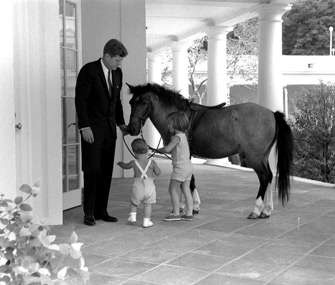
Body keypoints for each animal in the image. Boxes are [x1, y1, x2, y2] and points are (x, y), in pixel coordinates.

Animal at [126, 82, 294, 217]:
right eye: (131, 102)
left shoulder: (182, 154)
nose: (132, 128)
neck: (178, 116)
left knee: (264, 177)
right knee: (270, 176)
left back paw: (256, 210)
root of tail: (272, 114)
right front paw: (186, 205)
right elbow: (187, 178)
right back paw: (267, 210)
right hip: (263, 156)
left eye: (143, 102)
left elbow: (188, 180)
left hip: (255, 157)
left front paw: (191, 206)